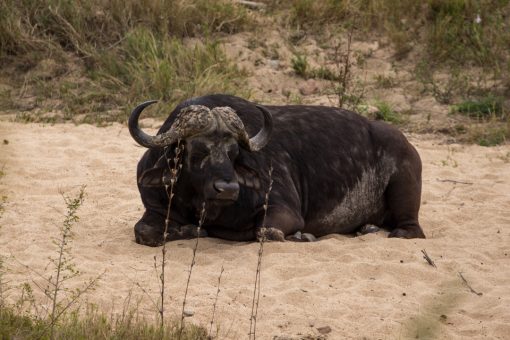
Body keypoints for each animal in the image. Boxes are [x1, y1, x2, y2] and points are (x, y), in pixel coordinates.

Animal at [129, 94, 424, 246]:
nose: (228, 189)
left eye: (234, 153)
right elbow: (143, 232)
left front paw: (302, 235)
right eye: (198, 151)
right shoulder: (156, 207)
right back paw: (367, 228)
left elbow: (263, 231)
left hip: (406, 186)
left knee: (411, 228)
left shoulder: (285, 212)